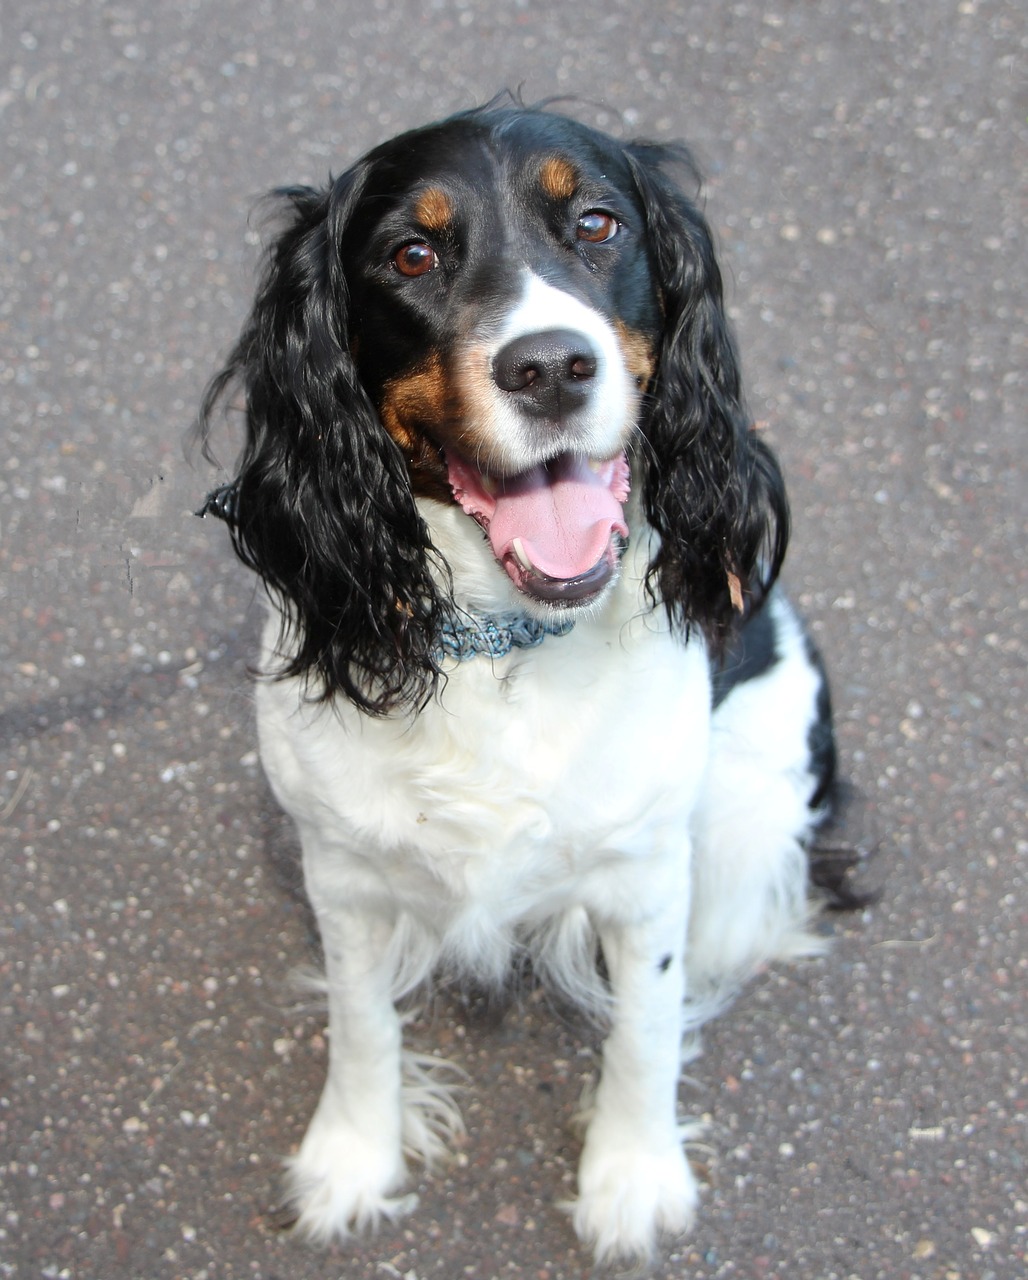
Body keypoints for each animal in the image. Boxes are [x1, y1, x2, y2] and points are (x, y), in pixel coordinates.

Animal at [198, 99, 850, 1259]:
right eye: (411, 255)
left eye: (596, 223)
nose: (550, 366)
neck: (506, 644)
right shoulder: (342, 868)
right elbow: (360, 1022)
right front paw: (352, 1156)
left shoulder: (648, 870)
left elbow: (644, 1025)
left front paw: (632, 1176)